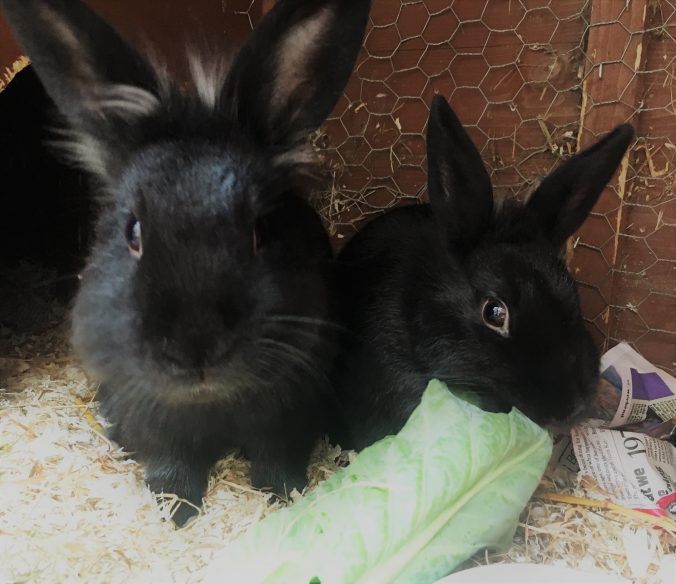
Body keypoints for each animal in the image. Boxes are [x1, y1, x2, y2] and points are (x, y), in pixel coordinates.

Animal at [0, 0, 371, 525]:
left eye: (260, 230)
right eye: (133, 232)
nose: (195, 349)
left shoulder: (288, 410)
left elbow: (275, 460)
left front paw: (283, 498)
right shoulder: (152, 415)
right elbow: (171, 463)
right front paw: (173, 511)